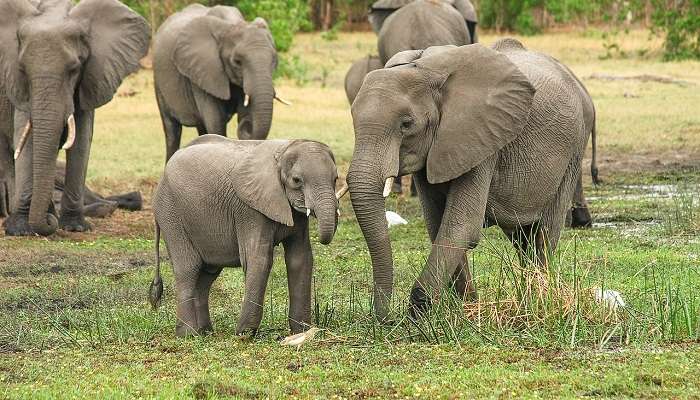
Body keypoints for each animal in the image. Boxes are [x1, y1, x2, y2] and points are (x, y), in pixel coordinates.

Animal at [0, 0, 150, 236]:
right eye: (23, 69)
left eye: (73, 69)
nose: (48, 223)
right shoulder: (17, 87)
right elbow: (25, 139)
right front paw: (19, 230)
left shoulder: (90, 78)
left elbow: (81, 142)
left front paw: (75, 227)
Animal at [149, 136, 346, 336]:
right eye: (297, 180)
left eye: (335, 179)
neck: (283, 151)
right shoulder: (249, 209)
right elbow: (259, 259)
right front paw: (244, 334)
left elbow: (300, 258)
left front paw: (302, 331)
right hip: (171, 215)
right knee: (188, 268)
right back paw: (188, 334)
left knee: (206, 275)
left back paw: (205, 332)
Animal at [152, 4, 284, 161]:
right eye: (237, 62)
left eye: (274, 60)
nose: (246, 125)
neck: (231, 24)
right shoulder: (203, 71)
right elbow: (215, 122)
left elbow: (243, 112)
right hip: (159, 82)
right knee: (172, 130)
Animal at [348, 40, 592, 320]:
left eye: (406, 124)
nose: (386, 319)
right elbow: (437, 224)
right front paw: (467, 307)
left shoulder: (482, 139)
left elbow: (461, 225)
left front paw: (419, 313)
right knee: (523, 236)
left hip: (574, 149)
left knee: (545, 230)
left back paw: (539, 299)